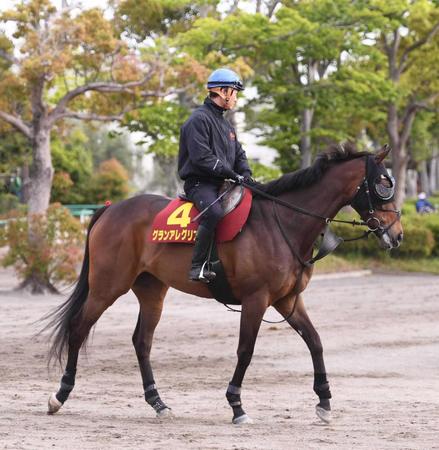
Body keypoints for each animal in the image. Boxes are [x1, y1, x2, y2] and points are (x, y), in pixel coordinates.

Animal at [46, 145, 404, 426]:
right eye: (382, 184)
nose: (397, 235)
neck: (282, 224)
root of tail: (109, 209)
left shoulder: (288, 300)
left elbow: (315, 342)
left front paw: (325, 401)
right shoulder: (257, 300)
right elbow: (246, 351)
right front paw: (236, 405)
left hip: (152, 292)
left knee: (141, 342)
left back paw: (158, 403)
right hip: (107, 288)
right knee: (78, 328)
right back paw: (60, 395)